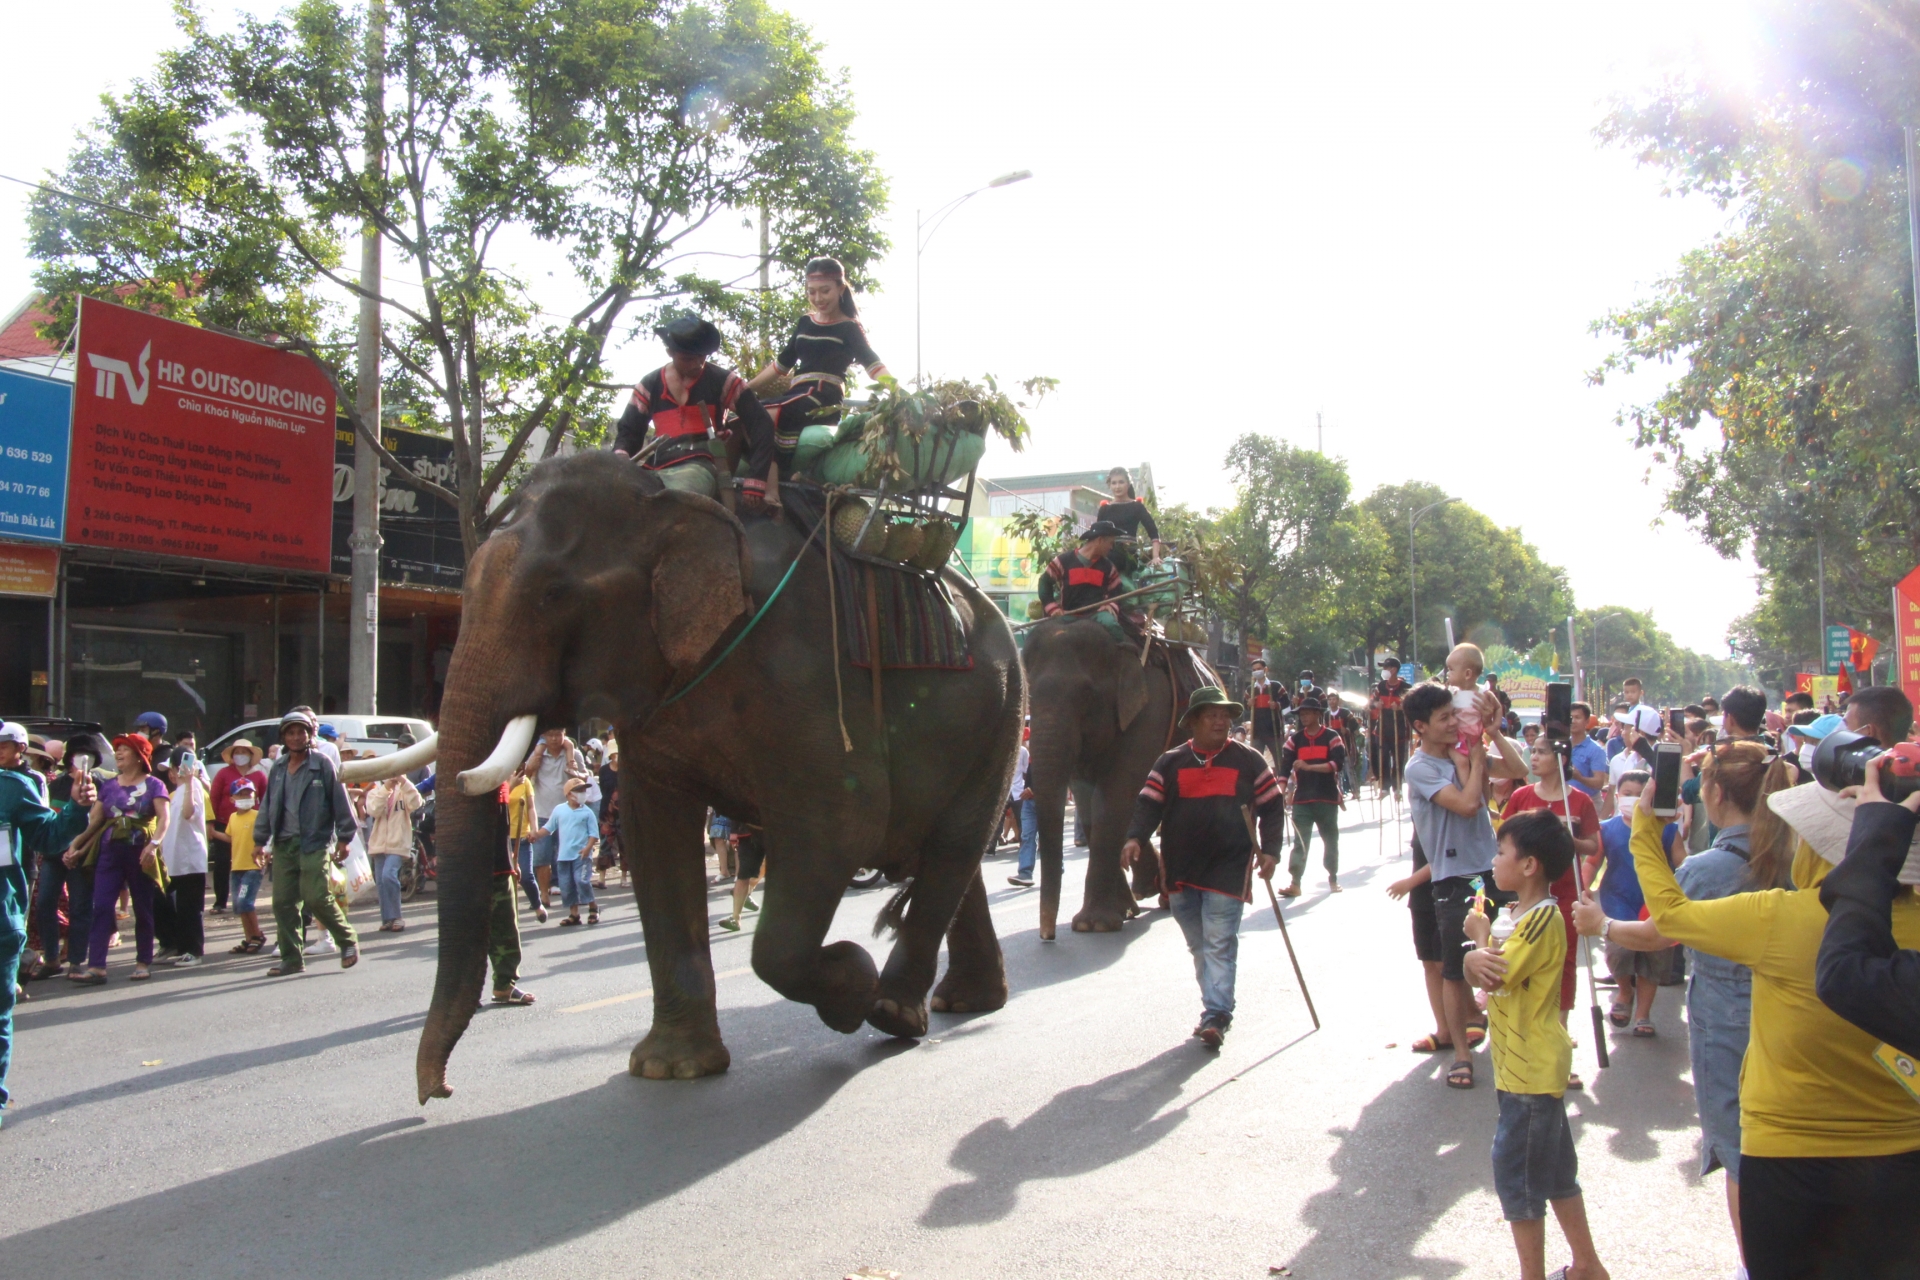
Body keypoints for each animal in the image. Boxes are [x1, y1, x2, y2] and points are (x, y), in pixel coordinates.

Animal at [351, 454, 1029, 1105]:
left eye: (553, 594)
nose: (437, 1092)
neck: (670, 500)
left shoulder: (806, 672)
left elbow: (840, 827)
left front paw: (850, 986)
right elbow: (656, 839)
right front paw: (672, 1069)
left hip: (1003, 717)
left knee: (951, 848)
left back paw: (893, 1012)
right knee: (940, 856)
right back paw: (961, 1002)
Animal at [1029, 621, 1190, 940]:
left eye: (1086, 695)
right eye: (1028, 697)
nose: (1047, 936)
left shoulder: (1151, 709)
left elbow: (1114, 795)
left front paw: (1093, 925)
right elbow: (1087, 802)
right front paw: (1119, 912)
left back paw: (1167, 895)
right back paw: (1147, 890)